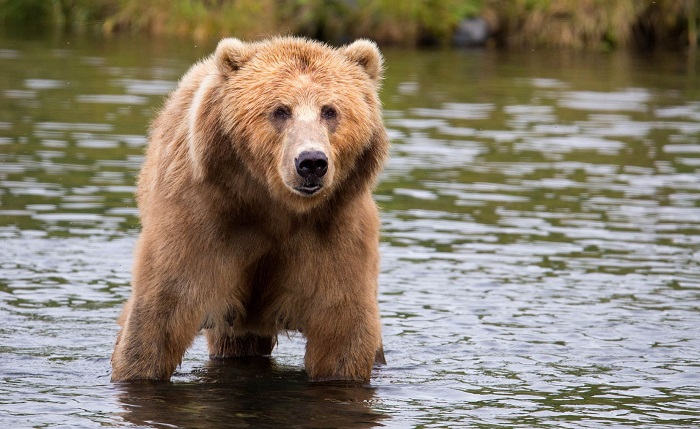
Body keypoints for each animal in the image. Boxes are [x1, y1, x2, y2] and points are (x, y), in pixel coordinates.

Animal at [112, 36, 392, 382]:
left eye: (330, 111)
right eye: (280, 110)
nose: (311, 162)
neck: (274, 206)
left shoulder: (335, 229)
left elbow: (342, 327)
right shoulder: (201, 218)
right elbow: (161, 310)